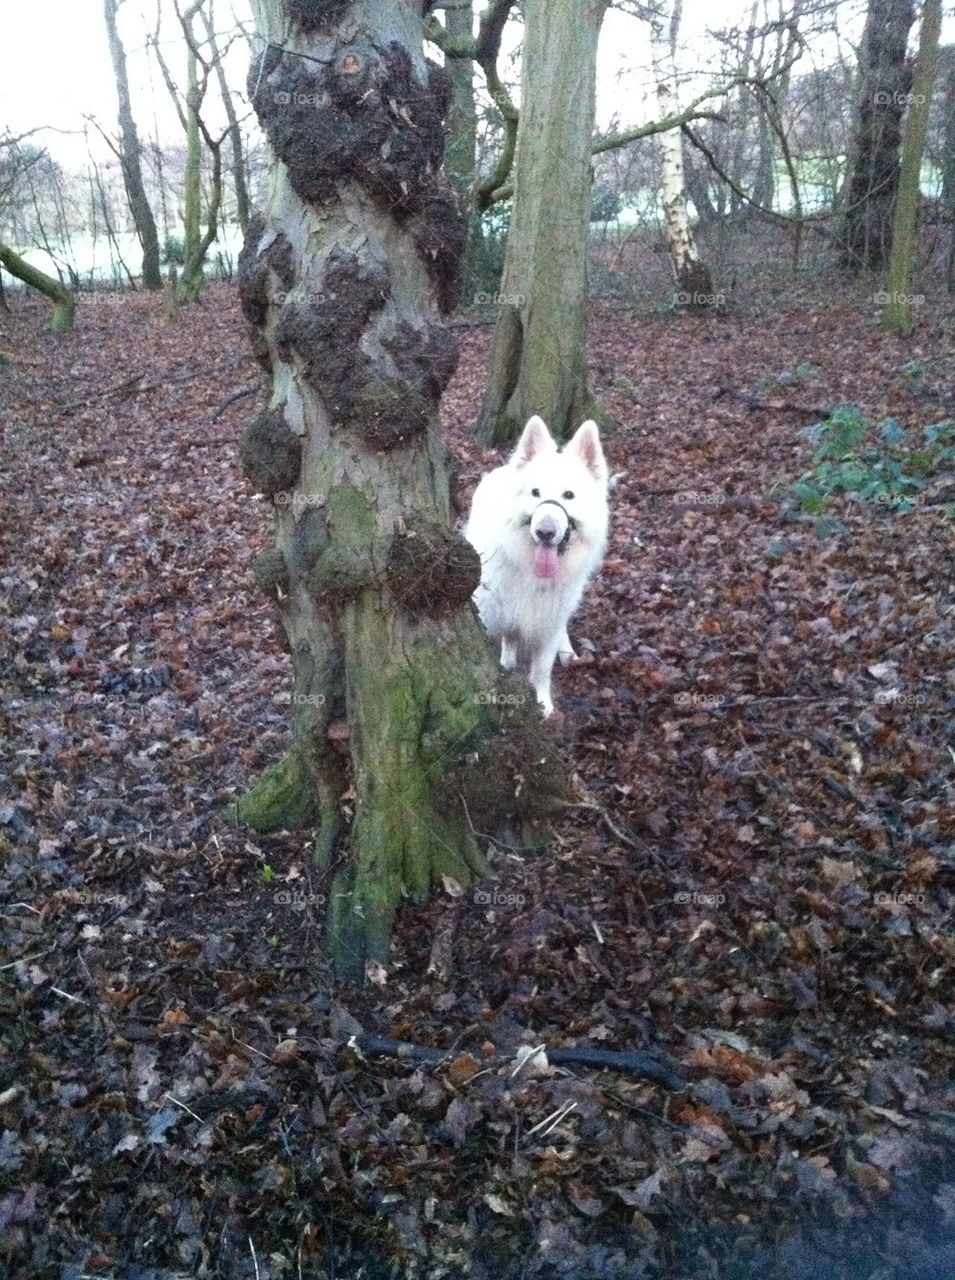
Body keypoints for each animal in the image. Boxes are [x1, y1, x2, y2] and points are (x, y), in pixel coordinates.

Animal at [463, 414, 609, 716]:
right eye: (535, 493)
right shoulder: (488, 615)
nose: (545, 532)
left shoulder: (548, 623)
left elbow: (542, 670)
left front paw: (543, 705)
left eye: (569, 495)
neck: (529, 570)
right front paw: (506, 668)